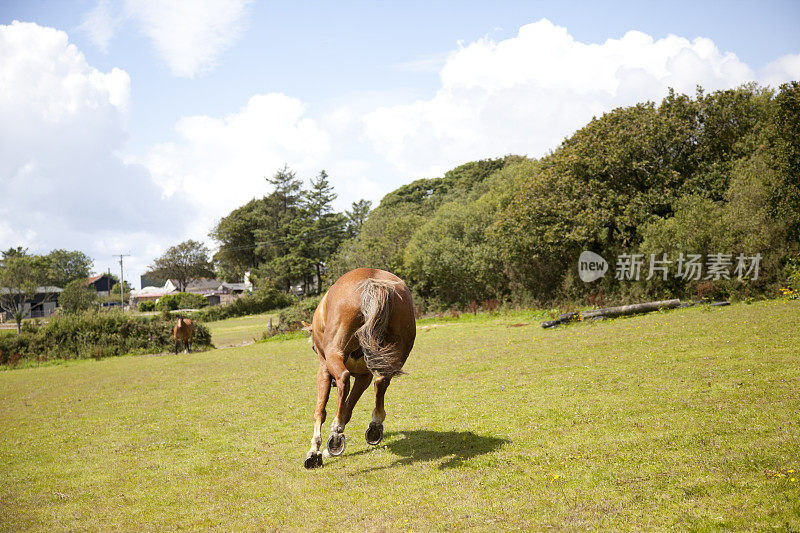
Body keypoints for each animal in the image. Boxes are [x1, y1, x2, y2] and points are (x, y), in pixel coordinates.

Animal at [304, 268, 416, 468]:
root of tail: (373, 280)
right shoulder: (364, 376)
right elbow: (348, 407)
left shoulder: (324, 369)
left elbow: (320, 411)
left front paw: (315, 451)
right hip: (396, 354)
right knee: (381, 381)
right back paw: (375, 425)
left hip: (334, 355)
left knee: (343, 379)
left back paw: (337, 432)